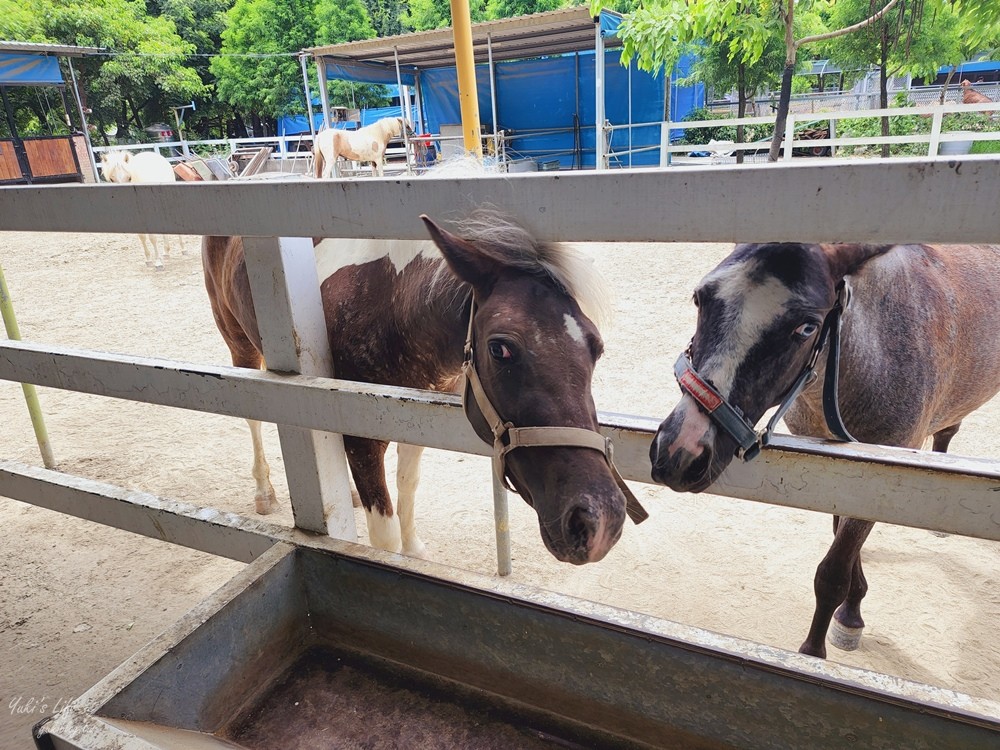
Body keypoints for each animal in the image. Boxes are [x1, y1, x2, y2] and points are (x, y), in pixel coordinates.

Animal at [202, 209, 644, 568]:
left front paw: (413, 551)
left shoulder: (415, 415)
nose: (600, 520)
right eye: (500, 348)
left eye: (596, 347)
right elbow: (383, 536)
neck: (391, 306)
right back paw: (264, 492)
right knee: (253, 417)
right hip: (239, 345)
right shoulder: (362, 438)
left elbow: (408, 486)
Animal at [648, 244, 1000, 660]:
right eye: (700, 298)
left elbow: (832, 573)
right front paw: (853, 604)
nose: (679, 454)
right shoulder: (831, 469)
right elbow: (840, 539)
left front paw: (819, 646)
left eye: (806, 327)